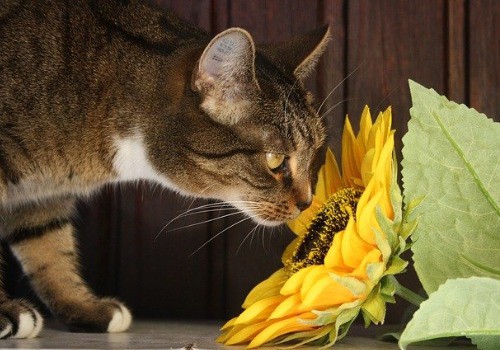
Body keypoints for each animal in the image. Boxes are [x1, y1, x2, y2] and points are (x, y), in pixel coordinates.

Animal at [0, 0, 330, 340]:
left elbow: (48, 246)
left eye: (315, 151)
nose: (307, 202)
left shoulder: (43, 194)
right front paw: (6, 313)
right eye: (275, 160)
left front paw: (83, 308)